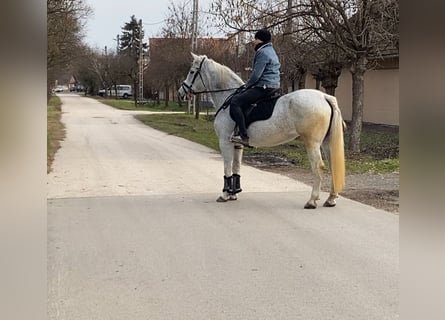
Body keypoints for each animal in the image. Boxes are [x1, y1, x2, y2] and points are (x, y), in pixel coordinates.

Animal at [179, 53, 346, 209]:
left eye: (192, 71)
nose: (181, 92)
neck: (228, 97)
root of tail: (324, 96)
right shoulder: (237, 144)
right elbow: (236, 166)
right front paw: (234, 193)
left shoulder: (224, 142)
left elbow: (227, 166)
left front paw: (225, 194)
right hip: (326, 143)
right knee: (332, 165)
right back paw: (331, 199)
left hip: (312, 143)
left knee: (317, 166)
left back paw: (312, 200)